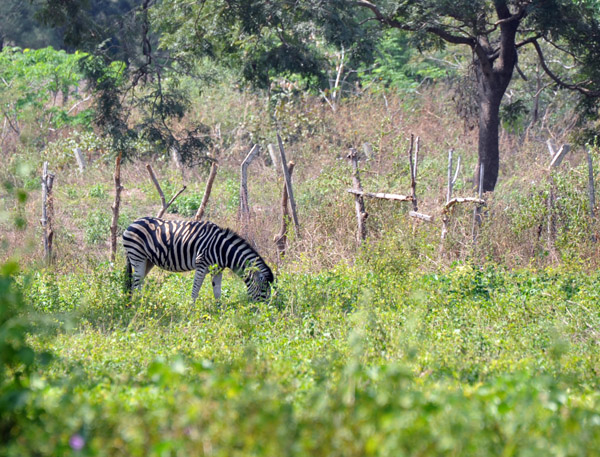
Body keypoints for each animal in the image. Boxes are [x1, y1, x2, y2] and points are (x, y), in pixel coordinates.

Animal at [123, 217, 276, 302]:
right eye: (264, 291)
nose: (263, 312)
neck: (222, 249)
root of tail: (132, 223)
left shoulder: (217, 269)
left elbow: (217, 291)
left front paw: (219, 310)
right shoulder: (201, 265)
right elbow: (195, 290)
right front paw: (191, 309)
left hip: (148, 261)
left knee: (135, 283)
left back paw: (137, 304)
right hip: (137, 257)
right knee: (136, 283)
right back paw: (139, 305)